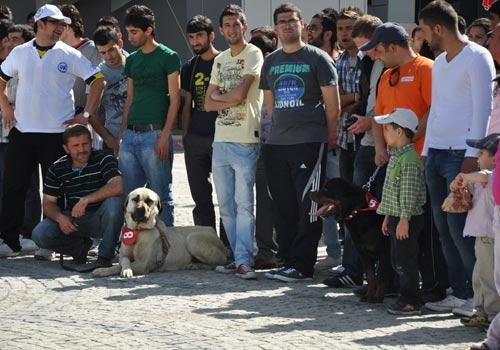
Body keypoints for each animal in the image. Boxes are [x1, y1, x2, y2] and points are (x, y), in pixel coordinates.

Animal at [93, 187, 228, 278]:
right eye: (135, 199)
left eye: (149, 201)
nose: (140, 209)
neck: (139, 231)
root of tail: (211, 230)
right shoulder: (123, 255)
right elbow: (123, 262)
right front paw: (104, 270)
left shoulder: (142, 264)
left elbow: (121, 266)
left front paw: (124, 271)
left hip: (193, 239)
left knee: (218, 263)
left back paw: (195, 265)